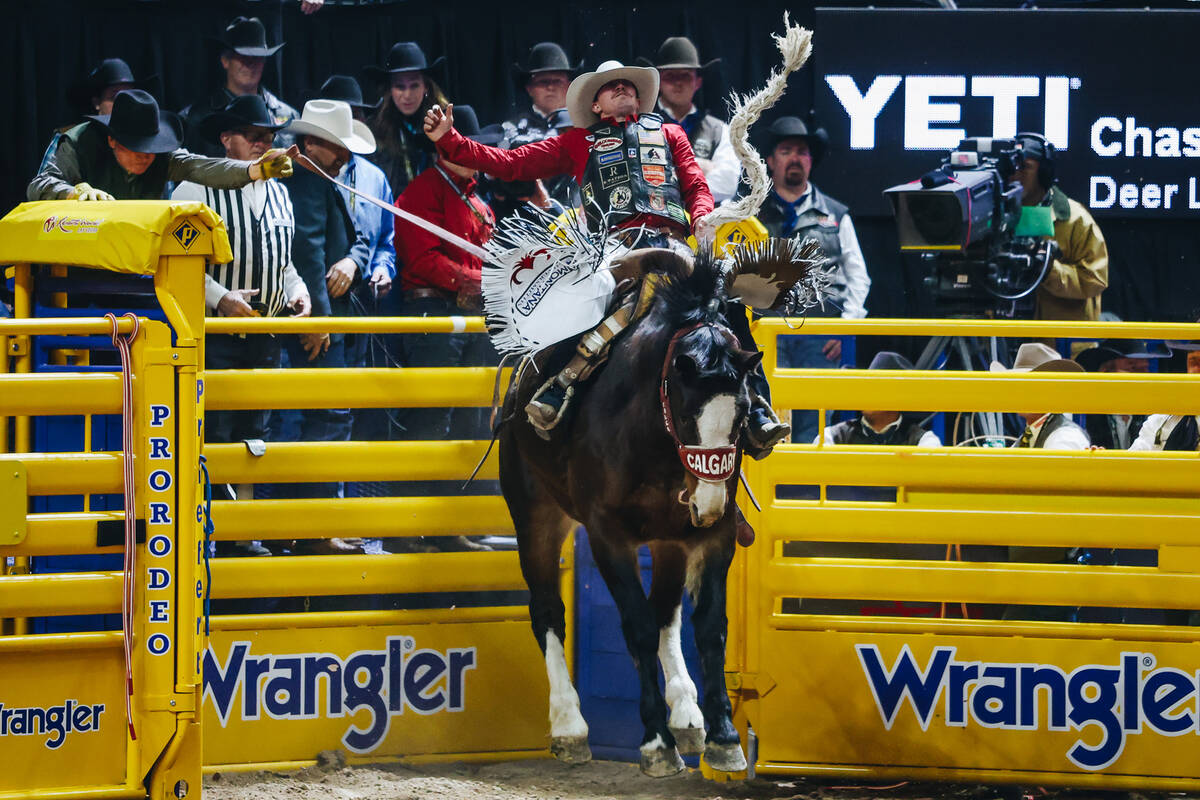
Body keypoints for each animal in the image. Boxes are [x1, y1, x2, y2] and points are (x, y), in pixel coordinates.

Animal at [496, 248, 758, 777]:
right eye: (685, 412)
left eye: (742, 411)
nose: (708, 503)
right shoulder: (608, 536)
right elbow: (636, 627)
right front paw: (656, 742)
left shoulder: (713, 537)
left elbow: (708, 627)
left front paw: (722, 735)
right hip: (535, 515)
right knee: (547, 610)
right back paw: (569, 726)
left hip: (669, 539)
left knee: (667, 613)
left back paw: (687, 713)